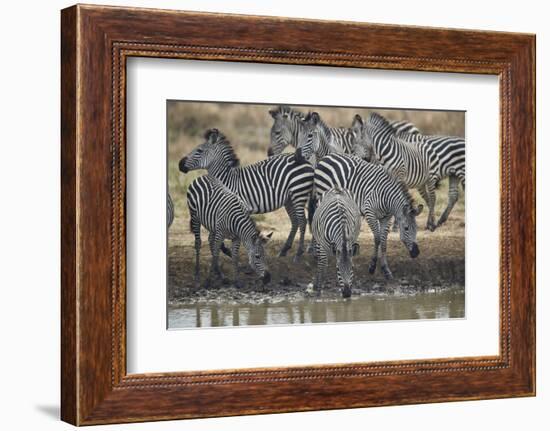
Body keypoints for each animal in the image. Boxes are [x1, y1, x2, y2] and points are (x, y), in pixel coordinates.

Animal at [181, 128, 314, 262]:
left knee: (303, 221)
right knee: (295, 221)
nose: (180, 165)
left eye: (199, 151)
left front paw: (229, 251)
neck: (226, 180)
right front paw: (226, 251)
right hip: (289, 199)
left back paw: (299, 253)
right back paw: (284, 250)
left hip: (298, 193)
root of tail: (306, 161)